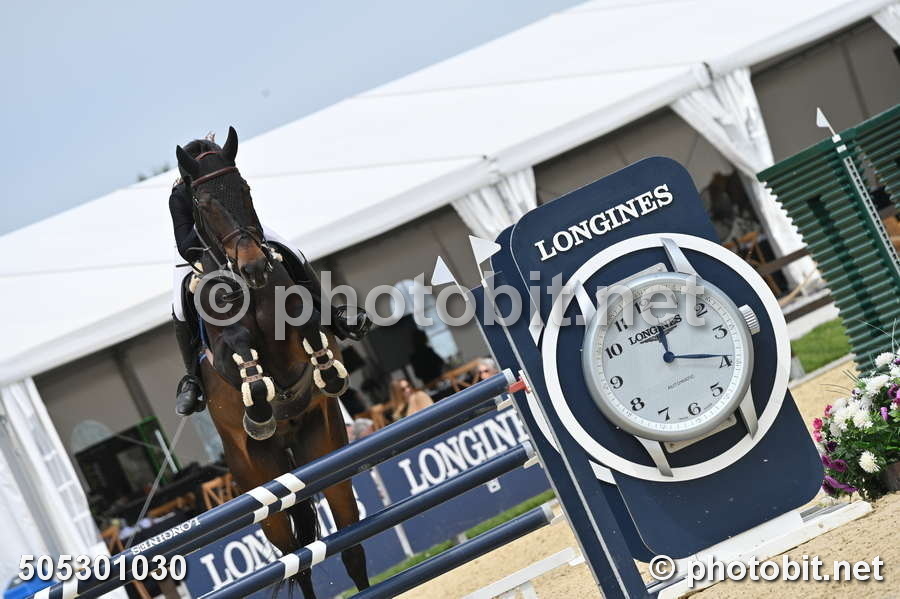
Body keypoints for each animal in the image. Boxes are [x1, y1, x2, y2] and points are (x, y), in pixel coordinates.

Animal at [175, 127, 369, 598]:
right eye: (203, 203)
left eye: (244, 189)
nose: (254, 267)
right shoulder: (224, 358)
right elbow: (244, 354)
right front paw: (259, 405)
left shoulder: (295, 319)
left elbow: (308, 322)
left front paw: (328, 369)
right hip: (258, 483)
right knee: (294, 561)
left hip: (326, 451)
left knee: (348, 545)